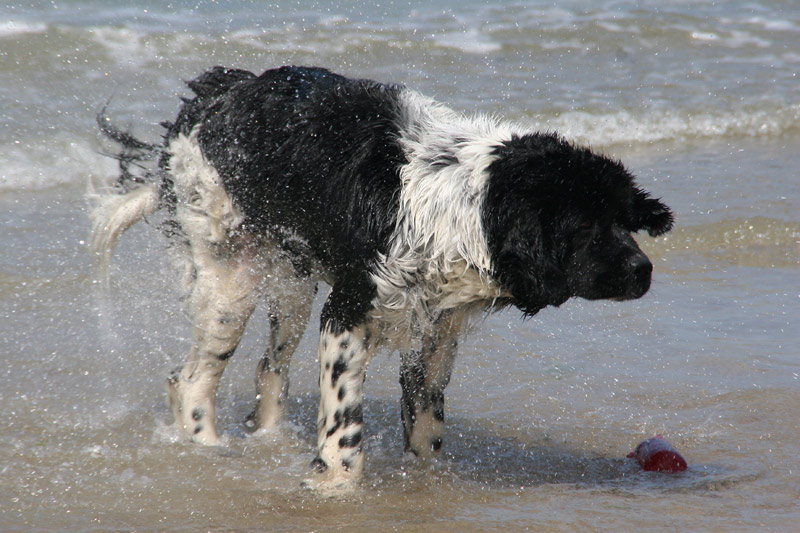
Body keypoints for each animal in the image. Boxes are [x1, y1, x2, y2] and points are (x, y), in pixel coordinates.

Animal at [90, 66, 672, 490]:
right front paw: (333, 482)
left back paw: (266, 440)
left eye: (624, 220)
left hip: (292, 285)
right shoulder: (350, 313)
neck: (461, 205)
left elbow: (426, 420)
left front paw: (426, 481)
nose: (643, 271)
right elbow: (345, 421)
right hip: (233, 279)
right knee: (192, 378)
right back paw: (210, 448)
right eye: (585, 226)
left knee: (268, 368)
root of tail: (211, 97)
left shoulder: (436, 329)